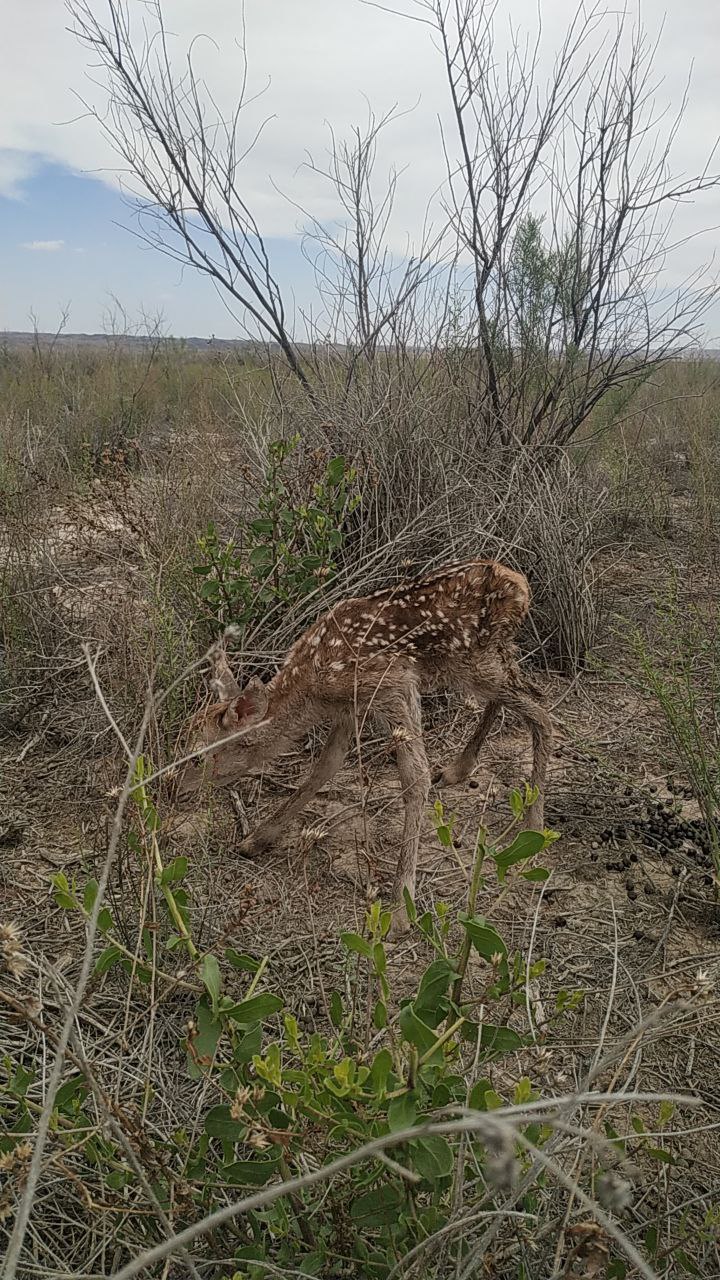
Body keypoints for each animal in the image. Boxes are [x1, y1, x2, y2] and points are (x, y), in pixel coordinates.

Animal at [172, 558, 548, 931]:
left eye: (197, 756)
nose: (170, 789)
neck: (311, 685)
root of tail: (521, 585)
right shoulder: (346, 709)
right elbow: (324, 767)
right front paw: (256, 839)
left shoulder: (393, 685)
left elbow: (415, 776)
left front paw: (401, 908)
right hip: (480, 663)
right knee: (522, 696)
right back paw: (461, 768)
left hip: (475, 661)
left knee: (542, 710)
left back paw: (533, 827)